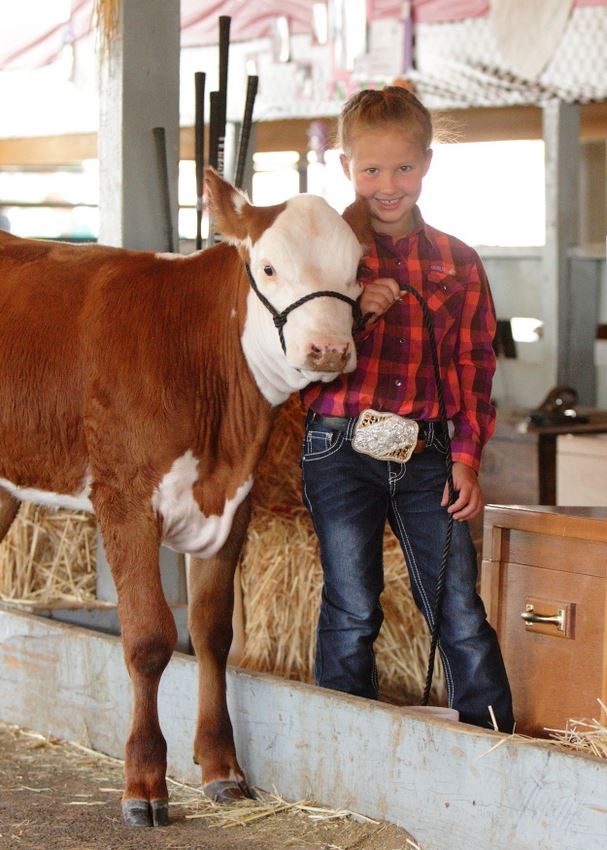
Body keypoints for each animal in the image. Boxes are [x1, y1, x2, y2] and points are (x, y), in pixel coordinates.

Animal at [0, 168, 367, 827]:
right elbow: (149, 639)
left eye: (355, 268)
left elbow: (212, 634)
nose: (329, 348)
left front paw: (222, 768)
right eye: (269, 267)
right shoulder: (125, 498)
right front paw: (144, 782)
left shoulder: (234, 502)